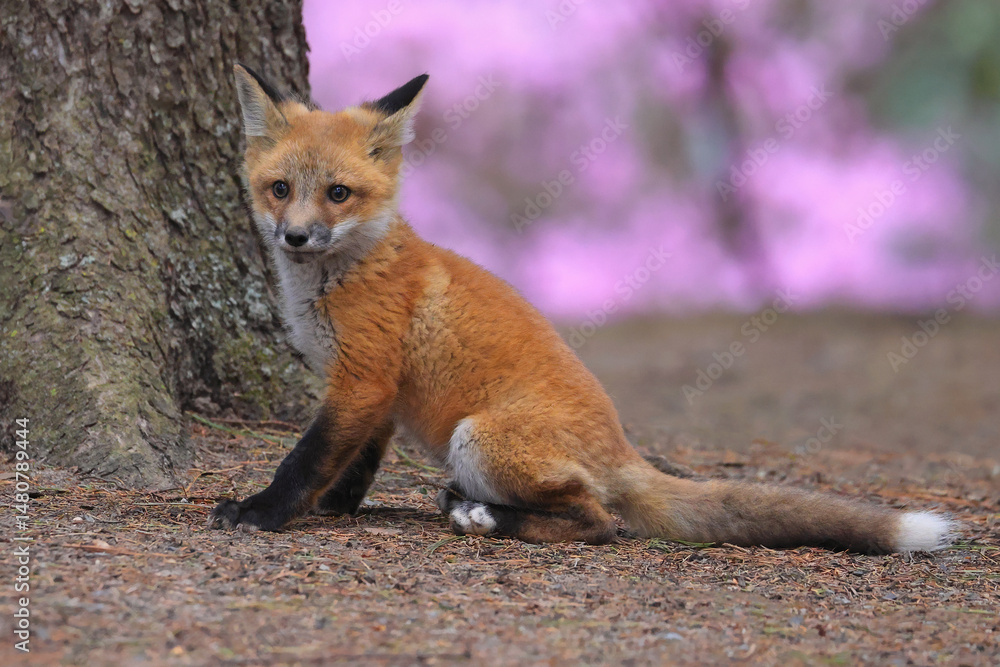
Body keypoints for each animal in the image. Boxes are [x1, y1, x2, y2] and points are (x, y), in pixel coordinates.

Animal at [208, 63, 955, 554]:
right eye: (280, 188)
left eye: (338, 193)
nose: (295, 236)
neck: (342, 274)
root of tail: (622, 446)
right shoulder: (379, 389)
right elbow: (356, 459)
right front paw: (336, 506)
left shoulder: (362, 377)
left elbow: (307, 457)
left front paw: (264, 511)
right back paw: (467, 506)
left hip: (478, 438)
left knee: (599, 521)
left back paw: (486, 517)